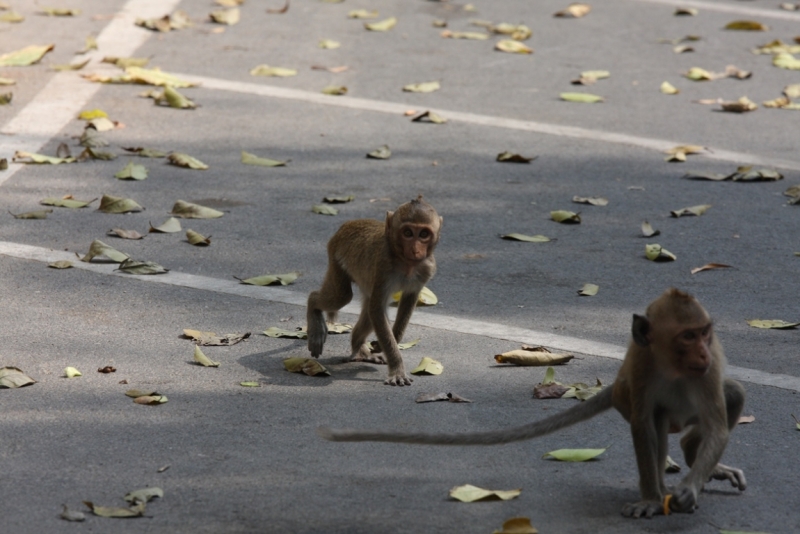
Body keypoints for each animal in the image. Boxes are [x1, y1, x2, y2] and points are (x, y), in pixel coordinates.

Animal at [308, 195, 444, 388]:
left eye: (424, 234)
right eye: (408, 233)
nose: (415, 250)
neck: (404, 262)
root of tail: (347, 224)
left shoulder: (426, 269)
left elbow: (407, 303)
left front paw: (387, 343)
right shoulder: (383, 266)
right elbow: (378, 310)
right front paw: (397, 369)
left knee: (367, 309)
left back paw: (361, 349)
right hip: (335, 256)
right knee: (341, 296)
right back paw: (314, 313)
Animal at [316, 292, 748, 520]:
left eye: (704, 334)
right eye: (687, 336)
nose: (703, 352)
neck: (673, 365)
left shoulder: (706, 372)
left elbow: (717, 423)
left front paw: (686, 488)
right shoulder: (642, 366)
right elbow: (643, 424)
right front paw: (651, 498)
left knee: (729, 397)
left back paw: (698, 462)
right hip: (632, 394)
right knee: (657, 421)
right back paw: (671, 479)